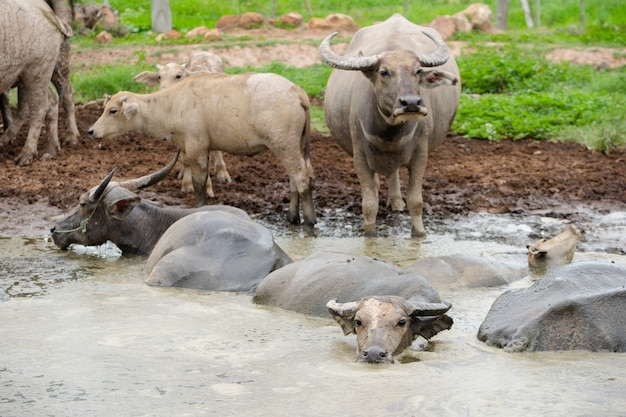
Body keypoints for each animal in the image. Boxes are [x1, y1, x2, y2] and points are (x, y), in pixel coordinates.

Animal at [88, 72, 314, 228]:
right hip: (293, 146)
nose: (91, 131)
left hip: (284, 144)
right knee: (295, 178)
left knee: (302, 178)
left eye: (112, 111)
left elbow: (199, 184)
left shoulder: (197, 147)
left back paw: (310, 222)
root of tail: (297, 91)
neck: (172, 105)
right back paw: (292, 217)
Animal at [316, 14, 458, 236]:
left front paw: (419, 233)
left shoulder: (421, 154)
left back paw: (396, 202)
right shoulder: (360, 157)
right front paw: (370, 234)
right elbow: (369, 204)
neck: (391, 136)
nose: (411, 103)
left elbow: (416, 201)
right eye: (383, 72)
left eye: (418, 71)